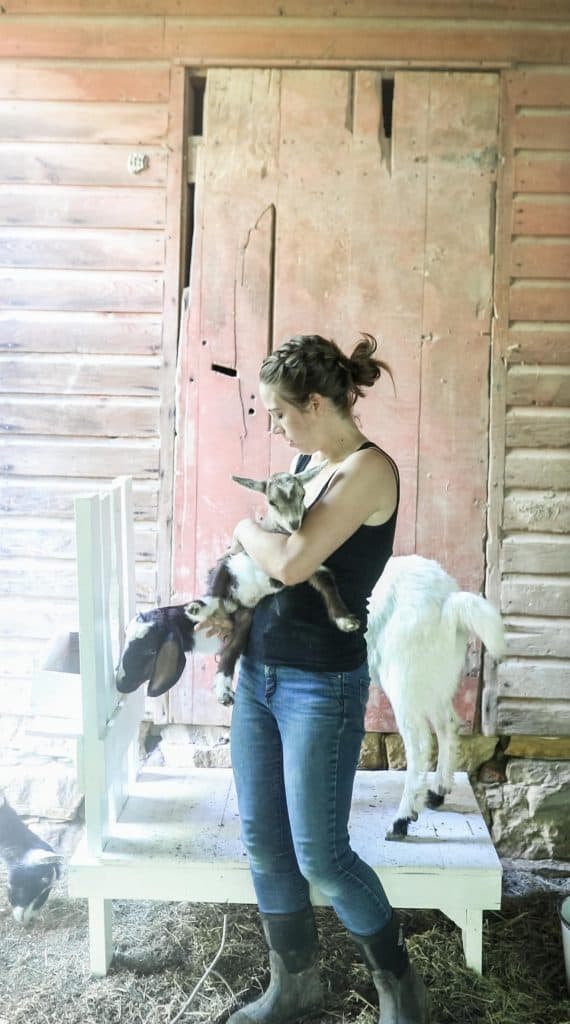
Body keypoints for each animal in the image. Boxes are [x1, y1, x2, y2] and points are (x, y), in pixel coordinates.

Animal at [364, 561, 501, 839]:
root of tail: (447, 600)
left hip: (404, 676)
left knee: (419, 744)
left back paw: (402, 819)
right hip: (435, 675)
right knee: (448, 724)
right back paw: (438, 791)